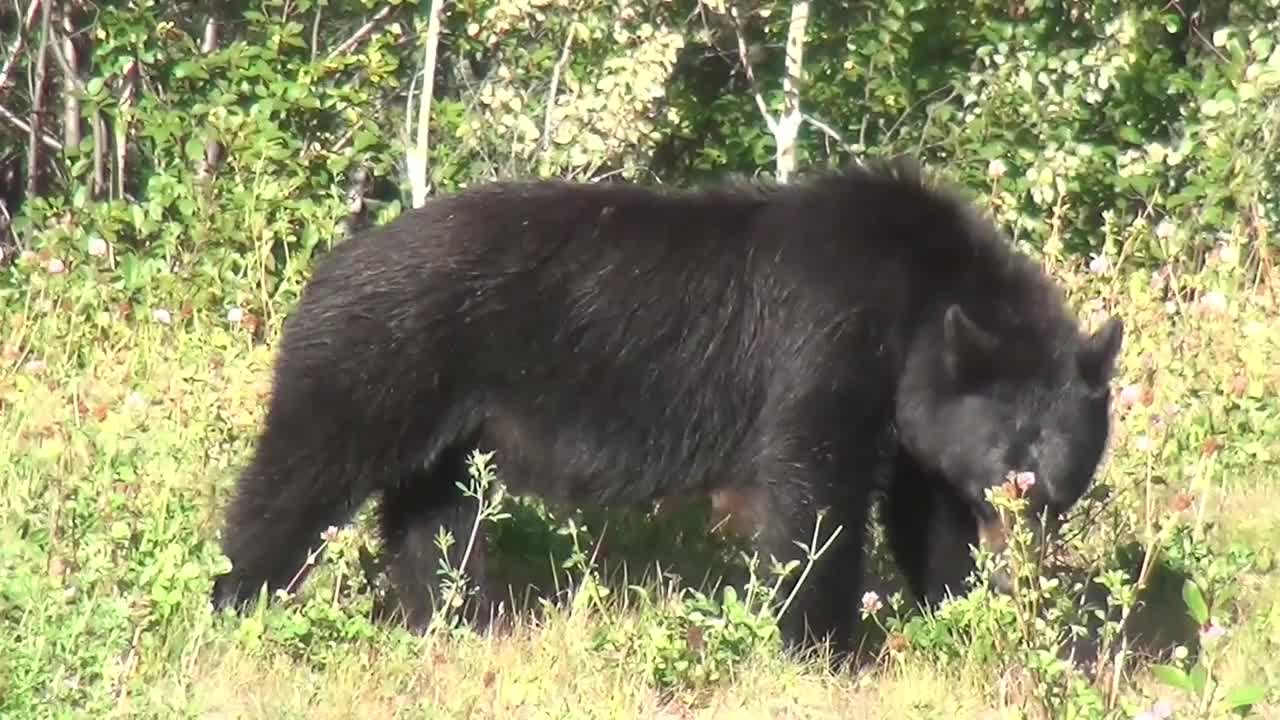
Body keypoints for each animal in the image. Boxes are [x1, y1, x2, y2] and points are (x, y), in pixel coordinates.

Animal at [209, 158, 1121, 655]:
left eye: (1068, 454)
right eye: (1018, 445)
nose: (1034, 507)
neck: (921, 296)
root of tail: (325, 270)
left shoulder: (915, 412)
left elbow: (926, 509)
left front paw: (950, 613)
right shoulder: (829, 338)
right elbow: (813, 493)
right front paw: (821, 645)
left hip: (448, 421)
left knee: (434, 515)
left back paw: (452, 617)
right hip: (378, 362)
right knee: (301, 472)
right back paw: (232, 599)